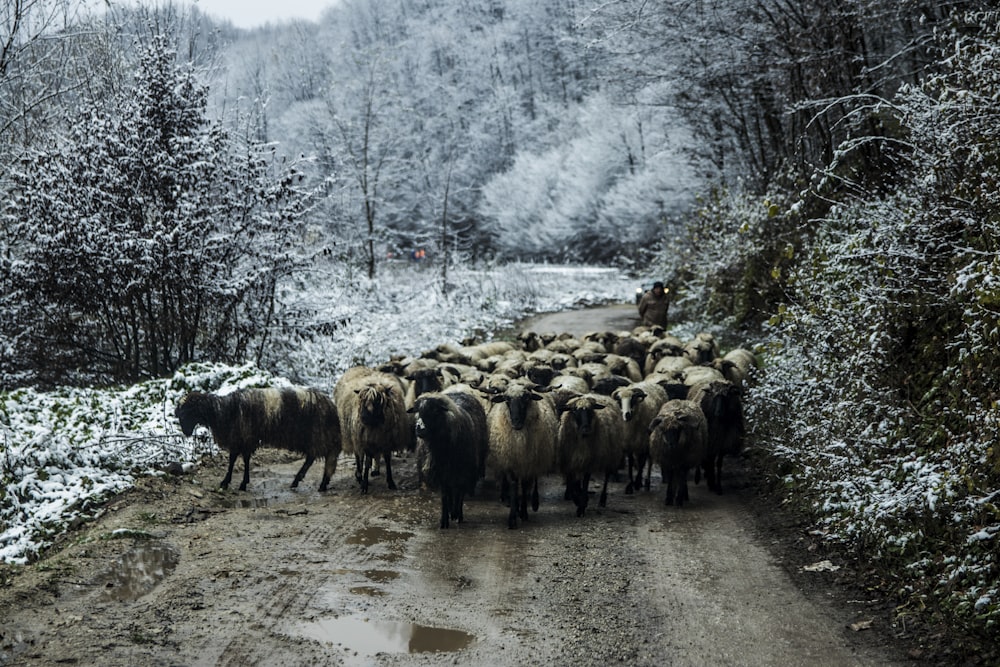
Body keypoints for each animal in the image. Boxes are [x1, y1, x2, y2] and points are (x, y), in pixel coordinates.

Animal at [174, 388, 342, 494]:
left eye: (187, 412)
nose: (186, 433)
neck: (222, 411)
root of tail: (331, 405)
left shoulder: (241, 437)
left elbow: (234, 460)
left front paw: (230, 482)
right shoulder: (243, 439)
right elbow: (243, 459)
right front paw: (241, 482)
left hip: (318, 435)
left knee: (323, 457)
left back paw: (320, 483)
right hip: (315, 437)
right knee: (313, 458)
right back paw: (302, 481)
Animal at [408, 392, 490, 528]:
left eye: (435, 411)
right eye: (418, 412)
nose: (419, 428)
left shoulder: (464, 471)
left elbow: (460, 494)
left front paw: (458, 515)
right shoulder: (441, 472)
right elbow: (445, 496)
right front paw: (444, 520)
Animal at [482, 384, 560, 528]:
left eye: (526, 398)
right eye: (507, 399)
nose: (516, 423)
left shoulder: (528, 464)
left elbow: (524, 486)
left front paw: (523, 512)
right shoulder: (511, 462)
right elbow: (513, 486)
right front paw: (513, 517)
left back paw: (534, 502)